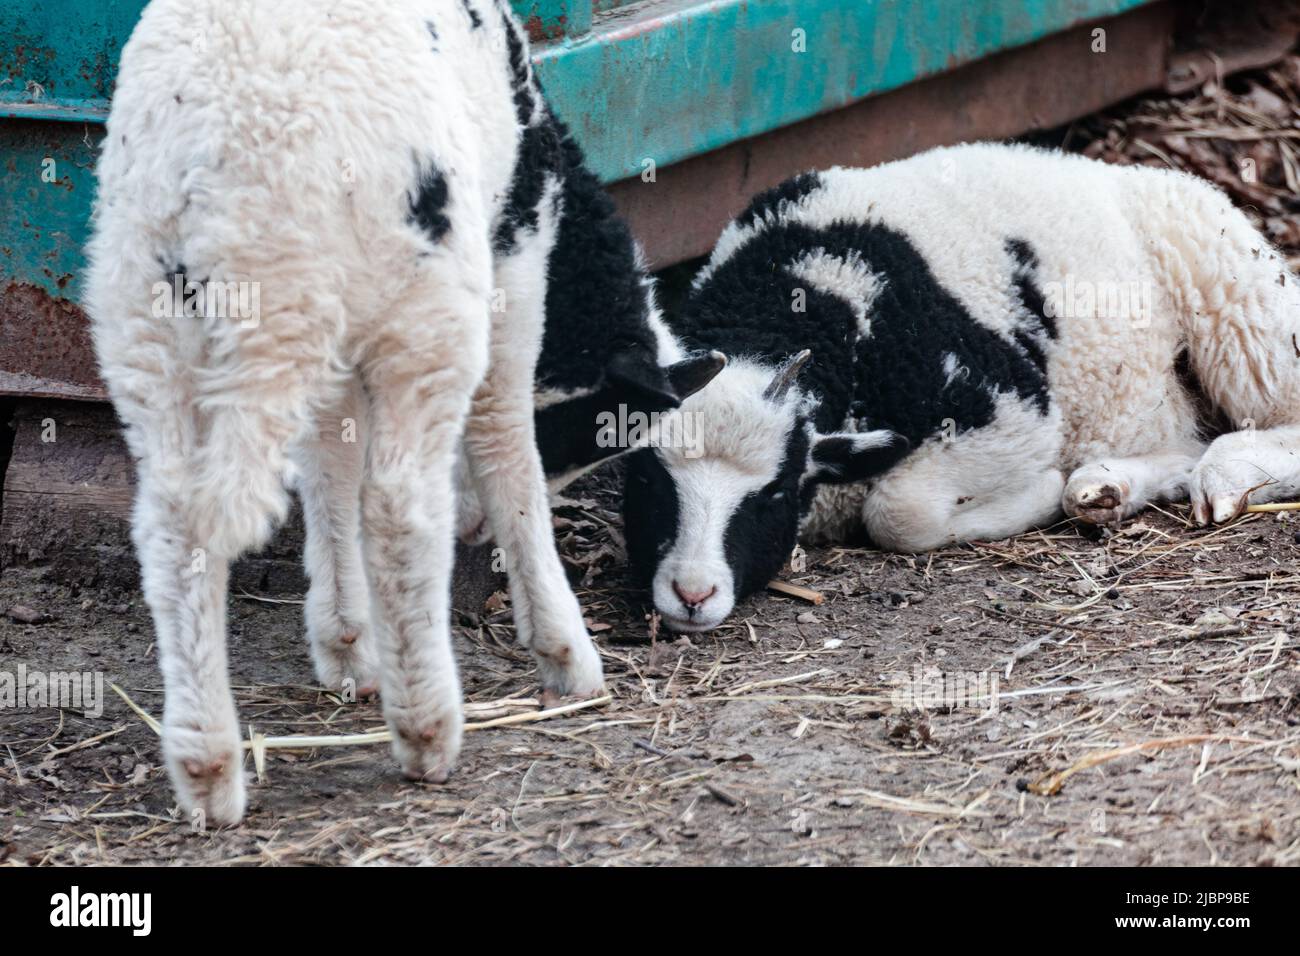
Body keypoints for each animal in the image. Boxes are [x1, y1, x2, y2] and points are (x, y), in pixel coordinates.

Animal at [83, 0, 712, 822]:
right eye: (585, 434)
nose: (474, 533)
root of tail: (243, 162)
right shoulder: (512, 271)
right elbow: (505, 449)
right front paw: (565, 655)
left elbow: (329, 467)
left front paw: (348, 645)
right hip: (428, 303)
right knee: (399, 509)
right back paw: (427, 727)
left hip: (144, 318)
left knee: (173, 526)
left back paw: (206, 766)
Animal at [621, 141, 1300, 632]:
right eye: (648, 481)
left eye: (773, 493)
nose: (692, 594)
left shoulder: (1011, 413)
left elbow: (900, 514)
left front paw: (1035, 495)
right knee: (1182, 442)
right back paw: (1110, 485)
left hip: (1234, 291)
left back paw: (1216, 477)